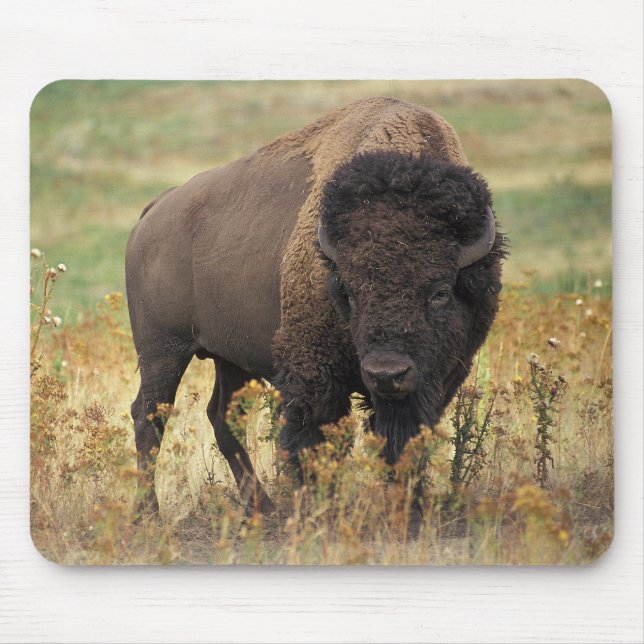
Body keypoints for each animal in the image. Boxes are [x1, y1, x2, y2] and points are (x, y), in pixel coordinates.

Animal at [126, 96, 505, 515]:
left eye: (439, 291)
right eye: (350, 292)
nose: (386, 373)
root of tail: (155, 210)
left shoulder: (440, 377)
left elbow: (404, 441)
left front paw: (409, 508)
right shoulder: (314, 374)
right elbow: (314, 443)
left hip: (229, 357)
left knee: (222, 417)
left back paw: (263, 509)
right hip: (162, 351)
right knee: (149, 417)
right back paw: (149, 513)